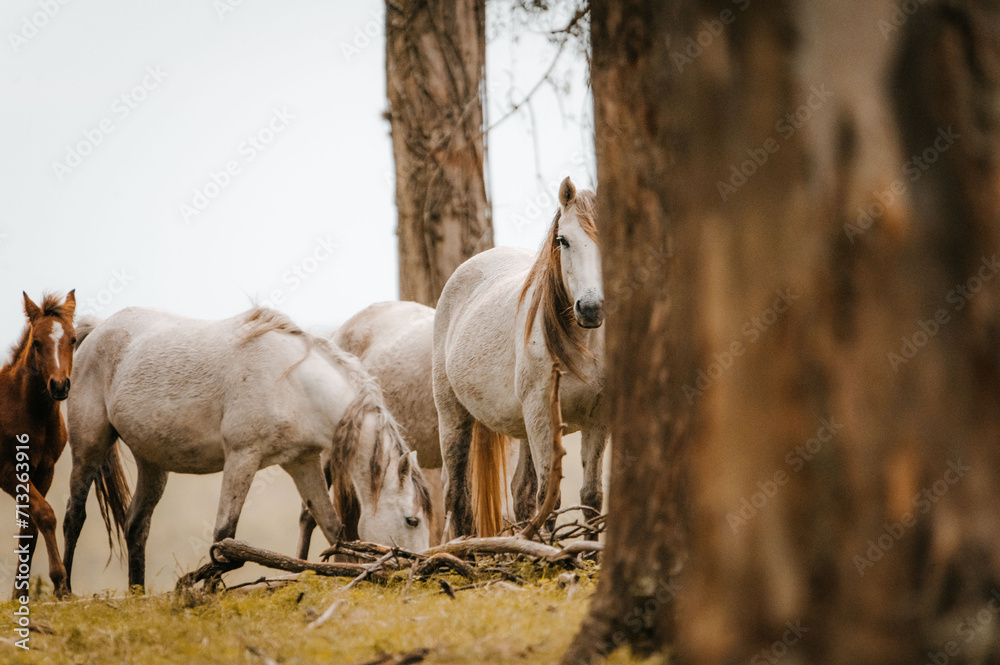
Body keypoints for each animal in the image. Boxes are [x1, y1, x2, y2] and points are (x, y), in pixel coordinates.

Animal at [62, 306, 432, 592]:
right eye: (412, 520)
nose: (418, 573)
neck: (291, 382)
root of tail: (96, 331)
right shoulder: (243, 457)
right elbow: (225, 540)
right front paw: (202, 589)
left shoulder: (302, 463)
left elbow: (333, 528)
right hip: (89, 447)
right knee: (73, 516)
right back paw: (63, 592)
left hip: (152, 464)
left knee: (136, 526)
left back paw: (137, 595)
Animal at [433, 177, 607, 537]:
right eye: (563, 240)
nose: (590, 308)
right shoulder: (542, 415)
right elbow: (549, 498)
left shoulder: (597, 419)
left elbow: (591, 498)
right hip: (453, 417)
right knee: (457, 496)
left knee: (521, 493)